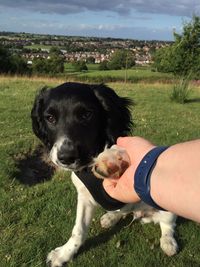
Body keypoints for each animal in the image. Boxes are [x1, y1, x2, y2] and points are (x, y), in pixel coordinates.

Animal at [31, 82, 178, 266]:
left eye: (86, 114)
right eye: (50, 118)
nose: (66, 158)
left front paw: (112, 156)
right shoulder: (84, 197)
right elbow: (78, 229)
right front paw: (65, 253)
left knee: (168, 224)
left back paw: (168, 242)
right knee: (123, 211)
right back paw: (110, 218)